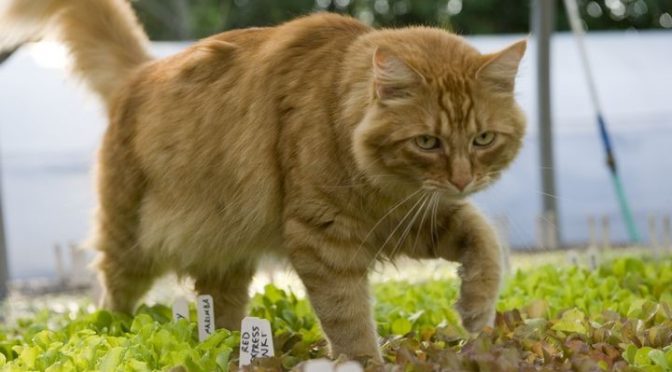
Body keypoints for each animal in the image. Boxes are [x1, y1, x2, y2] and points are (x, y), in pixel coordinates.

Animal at [0, 0, 524, 360]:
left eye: (482, 139)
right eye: (428, 142)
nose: (462, 180)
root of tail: (144, 70)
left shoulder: (407, 220)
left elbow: (485, 240)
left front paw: (476, 311)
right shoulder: (325, 238)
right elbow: (349, 317)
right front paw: (364, 362)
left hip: (223, 252)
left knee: (219, 310)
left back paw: (226, 351)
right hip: (131, 241)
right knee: (112, 294)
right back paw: (113, 335)